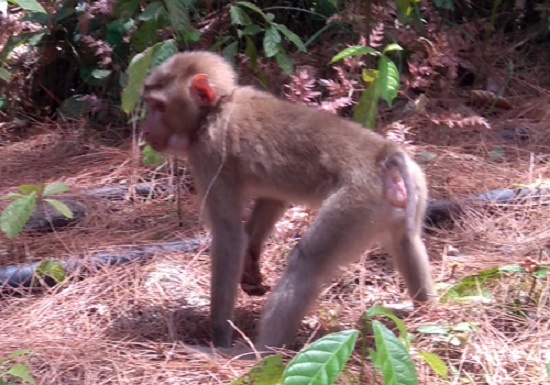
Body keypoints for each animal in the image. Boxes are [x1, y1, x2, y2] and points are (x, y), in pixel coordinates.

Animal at [141, 50, 436, 352]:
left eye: (159, 106)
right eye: (149, 104)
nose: (145, 129)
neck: (215, 109)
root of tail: (385, 153)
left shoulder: (208, 154)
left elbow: (229, 237)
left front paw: (219, 338)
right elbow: (272, 199)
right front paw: (251, 262)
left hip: (357, 200)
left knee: (306, 264)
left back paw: (259, 353)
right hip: (410, 190)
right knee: (406, 242)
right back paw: (426, 310)